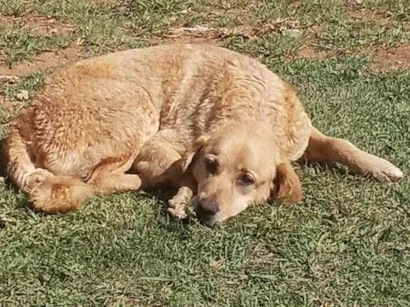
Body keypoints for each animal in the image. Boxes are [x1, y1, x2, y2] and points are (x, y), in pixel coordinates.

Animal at [1, 44, 402, 226]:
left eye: (247, 179)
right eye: (211, 165)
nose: (206, 209)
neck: (254, 105)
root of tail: (20, 122)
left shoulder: (302, 134)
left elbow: (339, 142)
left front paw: (380, 166)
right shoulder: (160, 144)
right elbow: (181, 168)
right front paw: (182, 193)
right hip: (135, 109)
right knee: (100, 179)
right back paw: (144, 181)